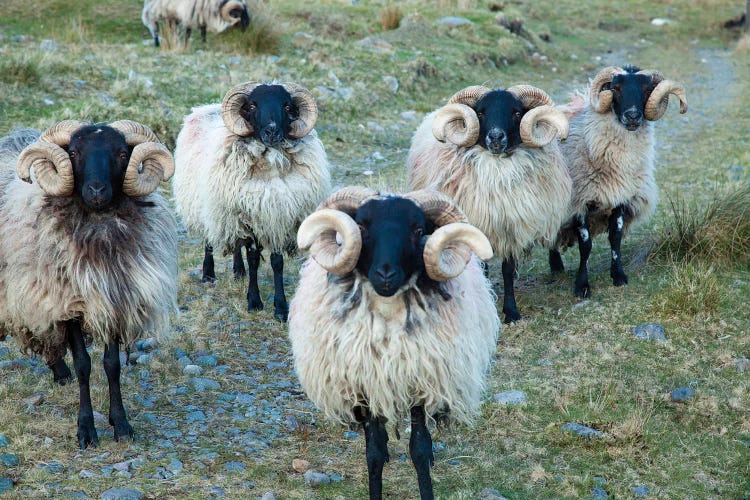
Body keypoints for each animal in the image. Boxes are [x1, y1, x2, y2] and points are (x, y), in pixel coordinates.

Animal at [0, 120, 178, 450]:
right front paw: (86, 429)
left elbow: (112, 365)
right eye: (73, 152)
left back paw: (59, 372)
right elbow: (84, 364)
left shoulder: (114, 300)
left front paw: (121, 424)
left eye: (122, 153)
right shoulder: (67, 303)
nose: (96, 190)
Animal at [176, 81, 332, 320]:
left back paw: (238, 271)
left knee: (235, 244)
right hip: (209, 207)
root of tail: (204, 108)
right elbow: (254, 259)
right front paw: (254, 302)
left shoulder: (277, 218)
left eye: (287, 106)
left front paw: (280, 308)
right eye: (252, 106)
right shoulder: (247, 218)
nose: (272, 131)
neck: (271, 168)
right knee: (209, 240)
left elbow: (277, 263)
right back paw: (209, 274)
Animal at [290, 188, 502, 500]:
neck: (388, 315)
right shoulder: (364, 384)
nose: (386, 275)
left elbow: (420, 449)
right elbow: (375, 452)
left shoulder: (421, 382)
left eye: (418, 230)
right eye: (362, 226)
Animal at [408, 84, 572, 322]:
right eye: (480, 113)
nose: (495, 137)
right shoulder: (478, 226)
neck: (498, 170)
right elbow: (483, 268)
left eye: (516, 112)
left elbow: (507, 270)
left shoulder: (511, 229)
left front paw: (511, 312)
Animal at [548, 68, 692, 298]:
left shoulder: (620, 198)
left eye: (647, 89)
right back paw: (555, 265)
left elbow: (615, 239)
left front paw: (618, 276)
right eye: (615, 88)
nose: (632, 116)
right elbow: (585, 246)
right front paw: (582, 285)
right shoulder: (580, 202)